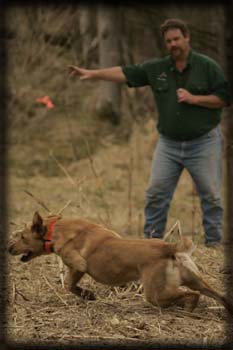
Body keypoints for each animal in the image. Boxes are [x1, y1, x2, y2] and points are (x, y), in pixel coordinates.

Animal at [8, 212, 232, 316]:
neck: (55, 229)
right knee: (218, 295)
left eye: (22, 237)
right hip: (196, 280)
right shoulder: (78, 269)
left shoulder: (78, 265)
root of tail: (169, 247)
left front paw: (88, 295)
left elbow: (69, 285)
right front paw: (87, 295)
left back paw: (187, 310)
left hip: (156, 293)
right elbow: (71, 285)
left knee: (191, 295)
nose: (8, 248)